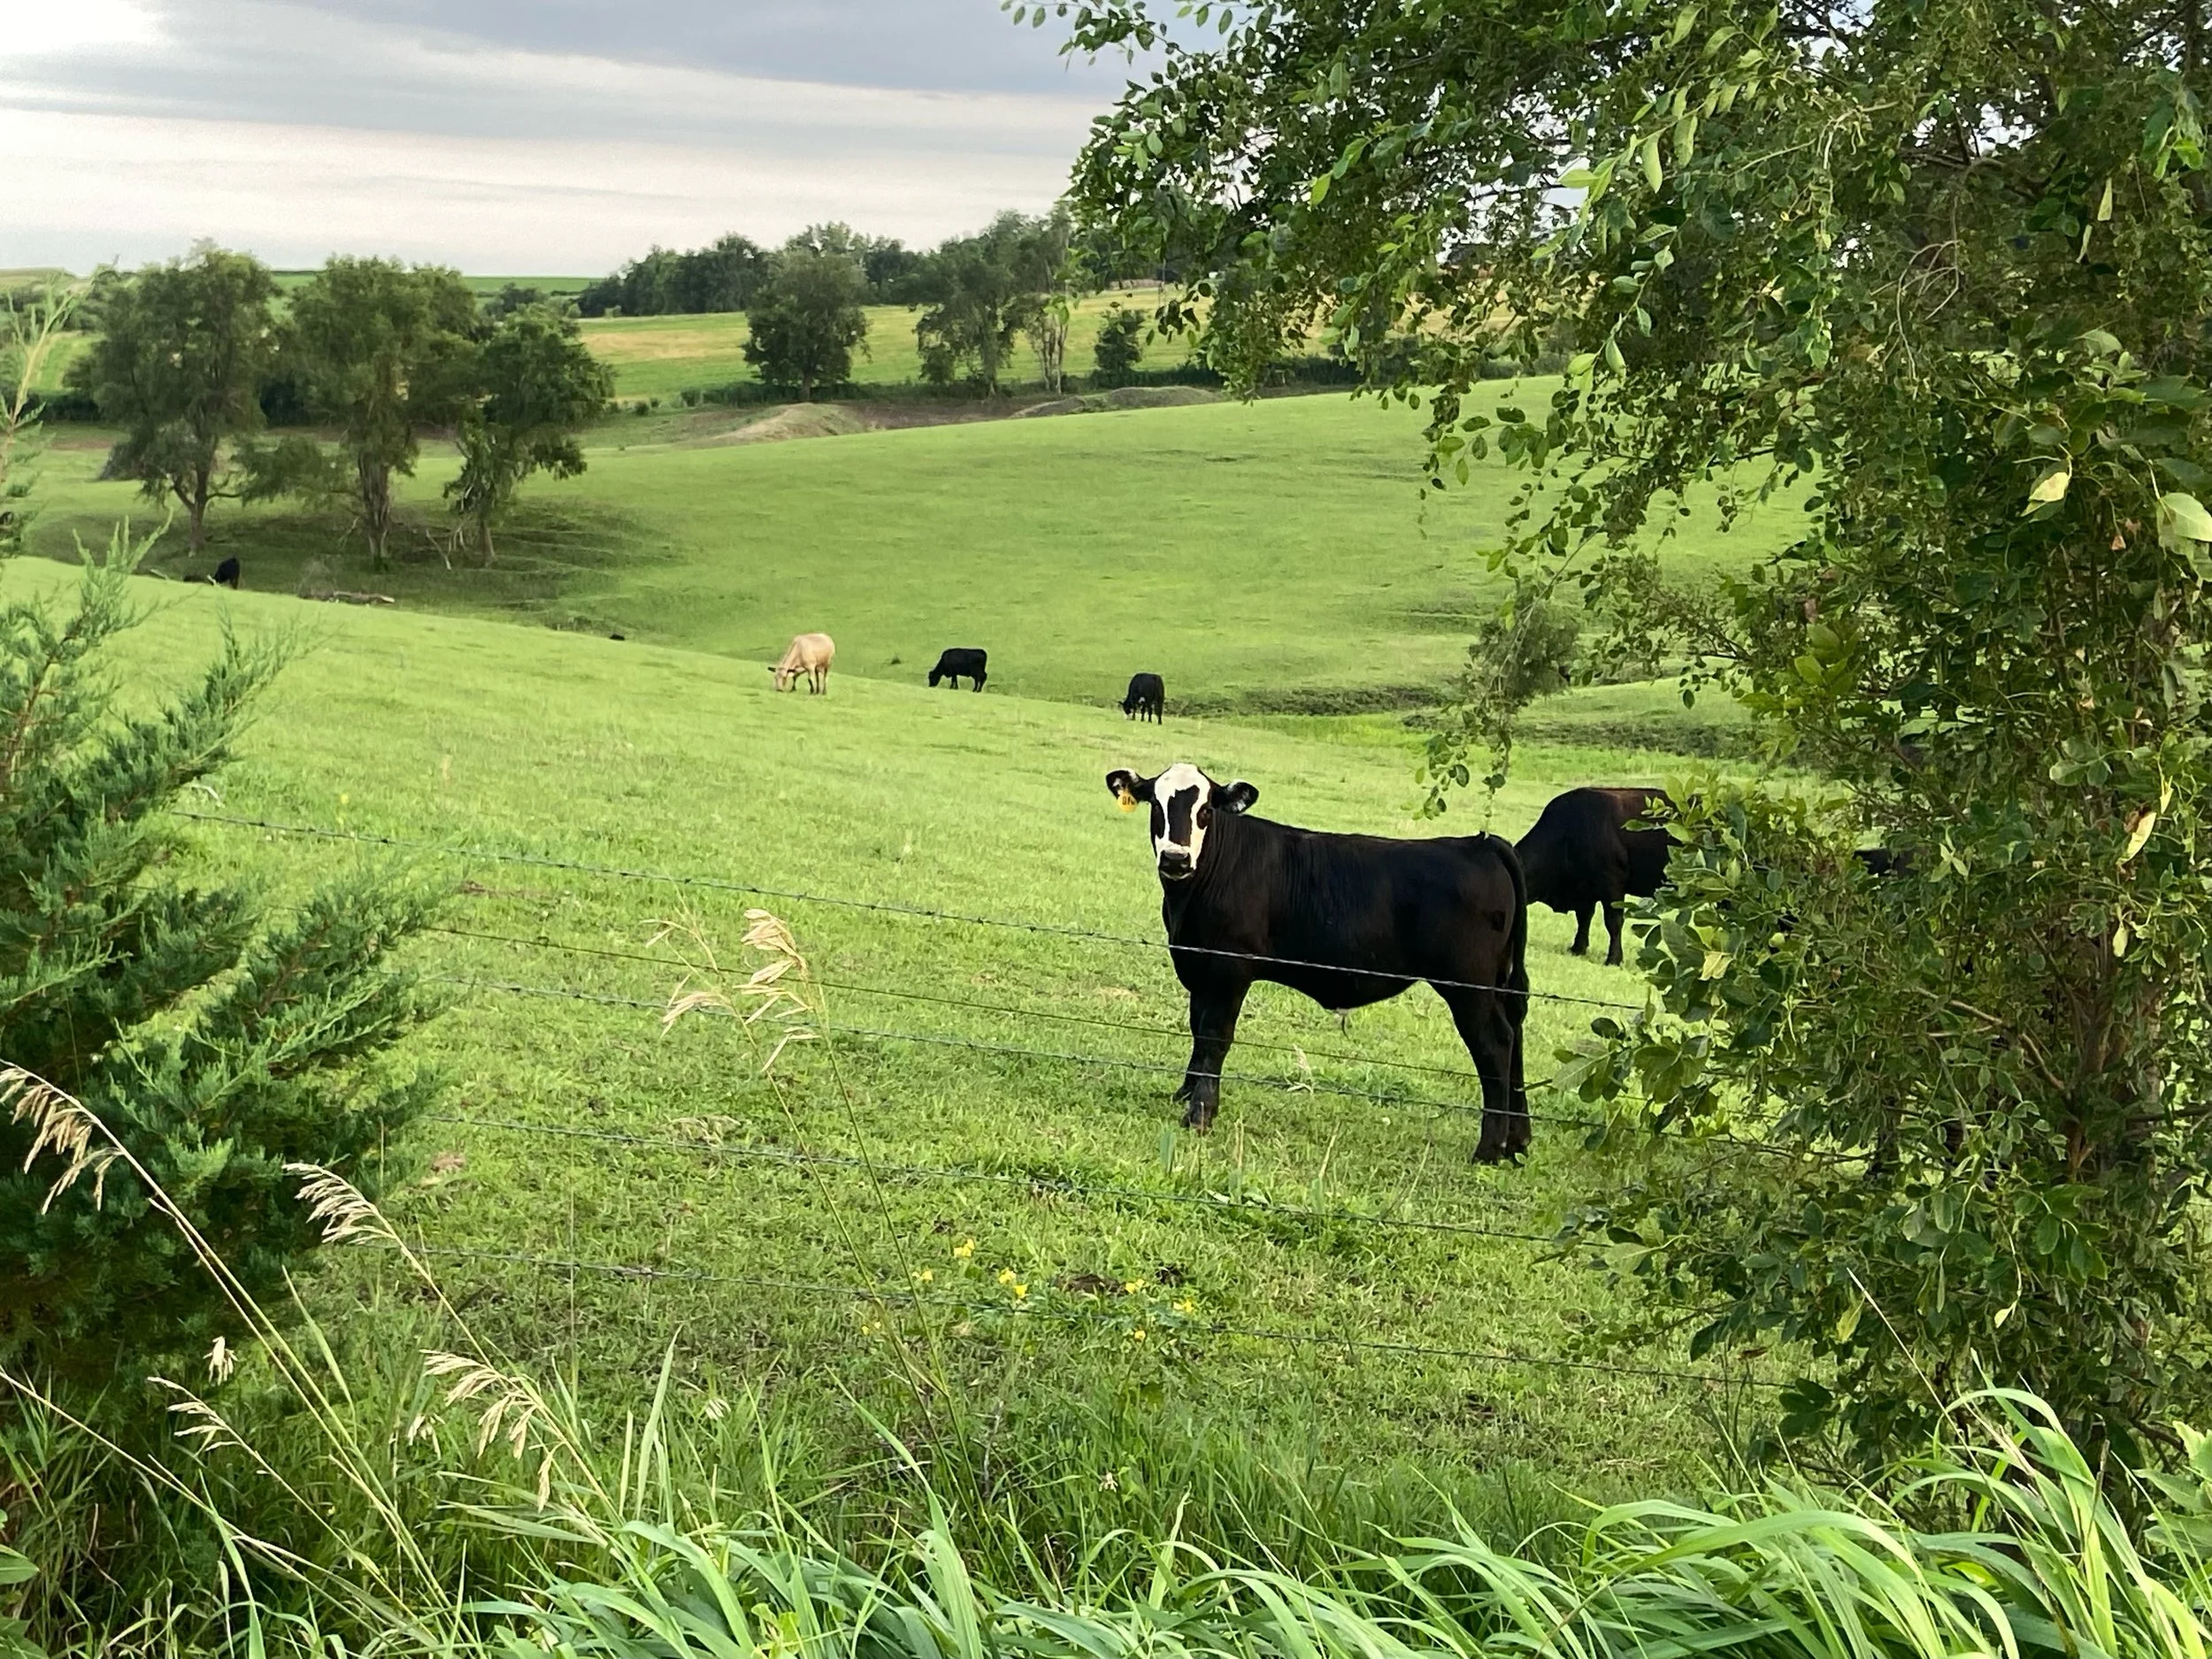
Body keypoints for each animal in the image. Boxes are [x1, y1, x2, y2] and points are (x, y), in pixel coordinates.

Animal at [1106, 763, 1532, 1161]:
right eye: (1156, 805)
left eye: (1206, 809)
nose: (1176, 859)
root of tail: (1478, 845)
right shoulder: (1197, 966)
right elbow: (1197, 1028)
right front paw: (1186, 1092)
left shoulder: (1231, 967)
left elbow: (1215, 1035)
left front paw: (1201, 1114)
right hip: (1500, 982)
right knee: (1515, 1035)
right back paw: (1518, 1141)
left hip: (1468, 988)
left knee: (1495, 1043)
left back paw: (1490, 1148)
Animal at [1514, 787, 1674, 967]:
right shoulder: (1585, 889)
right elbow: (1584, 918)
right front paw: (1577, 949)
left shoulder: (1612, 885)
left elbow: (1613, 922)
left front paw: (1613, 959)